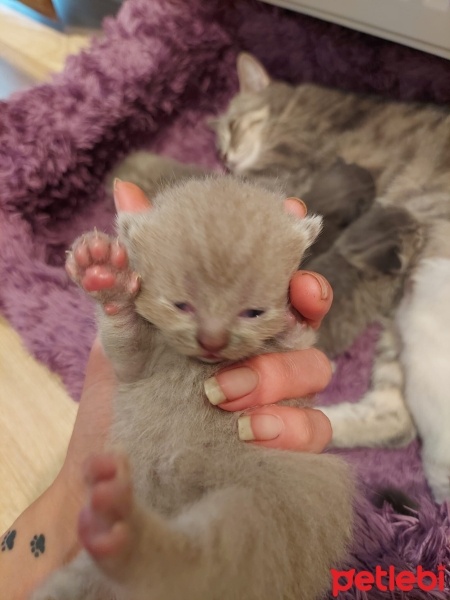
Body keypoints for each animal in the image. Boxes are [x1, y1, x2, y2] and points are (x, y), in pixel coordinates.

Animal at [33, 177, 354, 600]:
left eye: (253, 312)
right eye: (181, 304)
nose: (212, 339)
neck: (199, 366)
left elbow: (294, 344)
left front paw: (295, 317)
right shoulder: (134, 365)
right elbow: (125, 339)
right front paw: (104, 274)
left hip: (271, 501)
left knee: (210, 555)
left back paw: (123, 529)